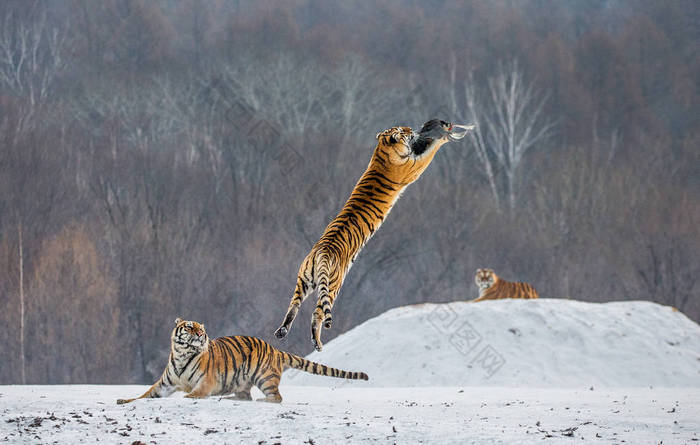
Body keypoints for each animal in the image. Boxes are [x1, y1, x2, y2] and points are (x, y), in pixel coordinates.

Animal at [116, 316, 366, 402]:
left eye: (201, 328)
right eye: (189, 327)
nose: (201, 334)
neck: (181, 355)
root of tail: (275, 349)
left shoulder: (205, 381)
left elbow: (195, 392)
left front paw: (189, 396)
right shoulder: (165, 384)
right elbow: (145, 395)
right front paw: (124, 400)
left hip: (264, 378)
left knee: (277, 397)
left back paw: (263, 400)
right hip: (240, 381)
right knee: (244, 395)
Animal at [276, 119, 474, 348]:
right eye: (403, 131)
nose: (413, 129)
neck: (383, 149)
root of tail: (321, 253)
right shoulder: (413, 168)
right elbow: (429, 154)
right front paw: (441, 137)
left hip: (303, 281)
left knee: (293, 307)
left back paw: (281, 331)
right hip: (333, 285)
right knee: (317, 314)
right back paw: (317, 342)